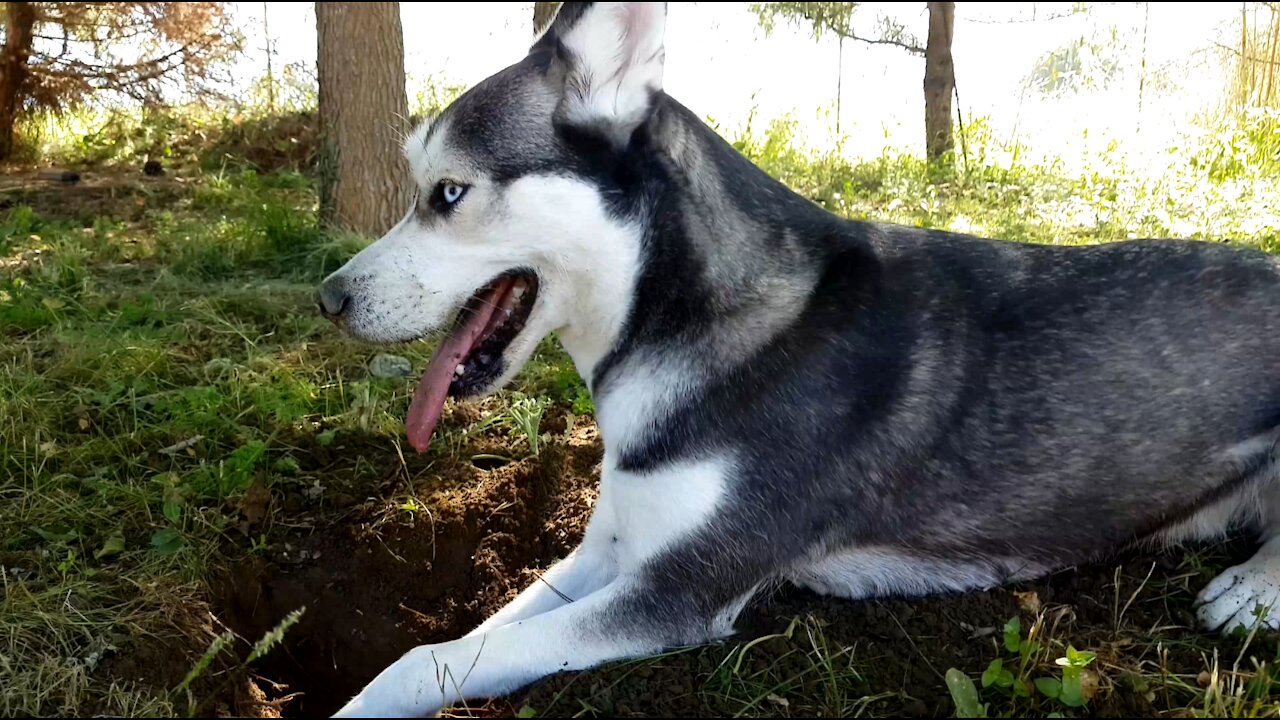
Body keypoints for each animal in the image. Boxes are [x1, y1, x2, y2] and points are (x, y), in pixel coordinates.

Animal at [314, 2, 1280, 712]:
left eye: (448, 193)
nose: (329, 299)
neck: (685, 320)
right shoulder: (614, 549)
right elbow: (465, 640)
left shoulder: (679, 592)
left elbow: (427, 661)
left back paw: (1250, 589)